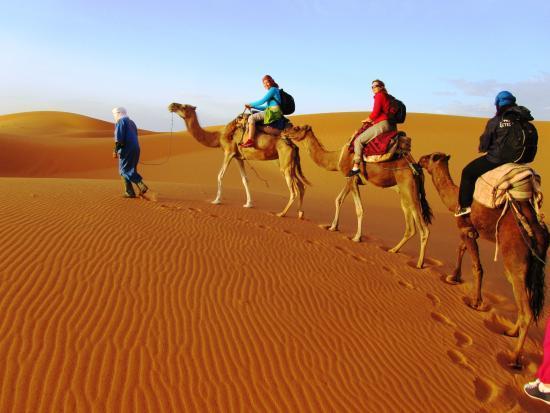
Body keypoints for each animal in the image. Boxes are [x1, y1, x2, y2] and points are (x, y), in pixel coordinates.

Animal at [168, 103, 310, 217]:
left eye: (184, 106)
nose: (171, 105)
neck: (219, 136)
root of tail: (293, 145)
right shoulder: (238, 157)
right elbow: (245, 179)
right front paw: (248, 204)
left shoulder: (228, 152)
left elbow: (220, 175)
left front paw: (216, 200)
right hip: (288, 163)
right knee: (301, 186)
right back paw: (300, 213)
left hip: (285, 163)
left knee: (294, 190)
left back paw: (282, 213)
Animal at [284, 124, 436, 268]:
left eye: (296, 128)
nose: (284, 132)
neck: (337, 158)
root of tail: (417, 168)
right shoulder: (350, 178)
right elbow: (338, 200)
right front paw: (333, 227)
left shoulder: (352, 178)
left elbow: (359, 209)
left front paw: (357, 237)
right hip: (403, 193)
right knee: (410, 227)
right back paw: (393, 250)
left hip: (410, 189)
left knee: (424, 229)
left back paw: (419, 264)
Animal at [420, 152, 548, 366]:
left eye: (430, 157)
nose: (419, 159)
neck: (454, 198)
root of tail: (536, 234)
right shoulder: (470, 231)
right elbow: (461, 249)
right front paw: (454, 277)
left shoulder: (467, 229)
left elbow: (477, 266)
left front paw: (476, 302)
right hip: (532, 266)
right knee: (523, 300)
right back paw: (510, 331)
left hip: (515, 257)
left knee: (526, 309)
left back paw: (514, 358)